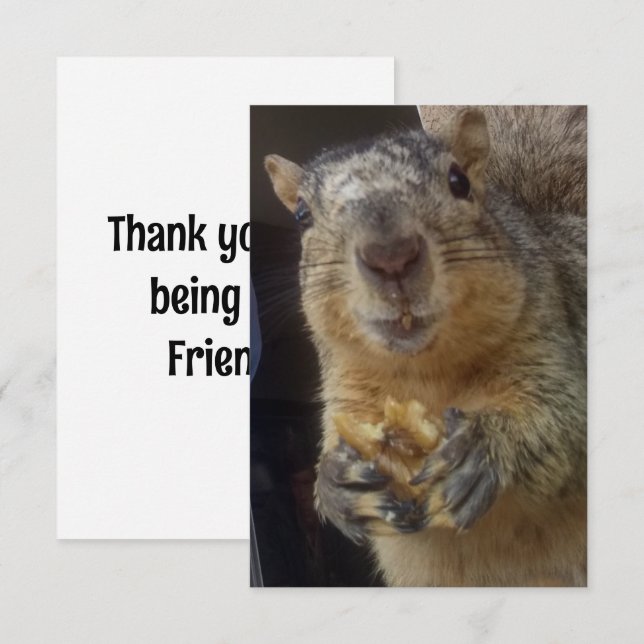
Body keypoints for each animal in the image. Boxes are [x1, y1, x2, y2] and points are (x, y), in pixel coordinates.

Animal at [264, 106, 587, 587]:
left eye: (459, 182)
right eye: (302, 214)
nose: (391, 255)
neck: (424, 371)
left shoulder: (556, 336)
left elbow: (563, 421)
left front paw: (483, 446)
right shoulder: (345, 388)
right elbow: (337, 434)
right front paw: (336, 482)